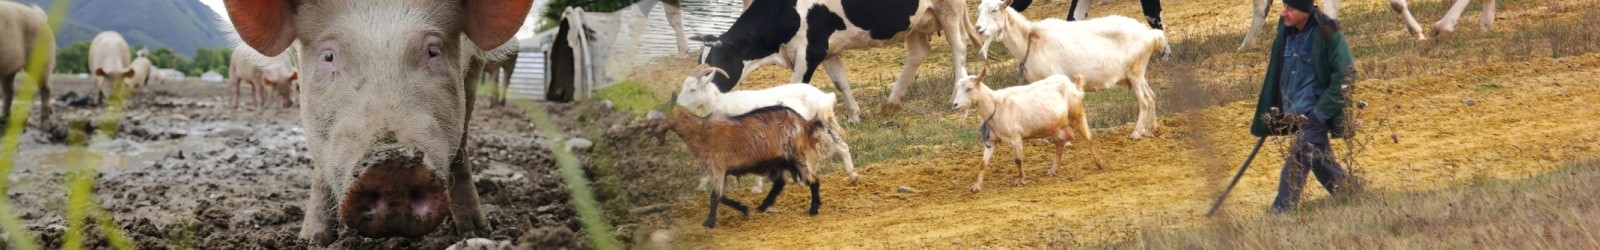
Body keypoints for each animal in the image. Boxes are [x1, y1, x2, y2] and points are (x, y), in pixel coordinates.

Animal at [222, 0, 534, 246]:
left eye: (433, 51)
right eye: (328, 56)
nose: (391, 164)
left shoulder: (474, 64)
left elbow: (462, 141)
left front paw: (475, 232)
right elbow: (319, 166)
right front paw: (312, 240)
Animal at [691, 0, 972, 121]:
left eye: (713, 69)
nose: (699, 103)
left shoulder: (810, 50)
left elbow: (794, 89)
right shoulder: (827, 50)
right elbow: (840, 82)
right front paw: (854, 116)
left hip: (948, 9)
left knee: (958, 47)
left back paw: (955, 96)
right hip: (916, 22)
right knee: (918, 52)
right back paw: (890, 103)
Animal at [947, 69, 1100, 192]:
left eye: (969, 88)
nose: (955, 105)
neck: (996, 105)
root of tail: (1072, 85)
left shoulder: (1016, 137)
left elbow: (1018, 160)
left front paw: (1021, 180)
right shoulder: (991, 141)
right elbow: (983, 163)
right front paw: (977, 186)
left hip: (1077, 115)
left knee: (1089, 138)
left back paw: (1100, 164)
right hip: (1056, 127)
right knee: (1059, 146)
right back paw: (1053, 170)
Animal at [966, 0, 1171, 141]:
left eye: (994, 10)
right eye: (979, 10)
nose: (979, 28)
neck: (1030, 39)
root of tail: (1151, 34)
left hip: (1135, 72)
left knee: (1144, 101)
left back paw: (1136, 133)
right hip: (1137, 73)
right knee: (1151, 96)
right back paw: (1150, 129)